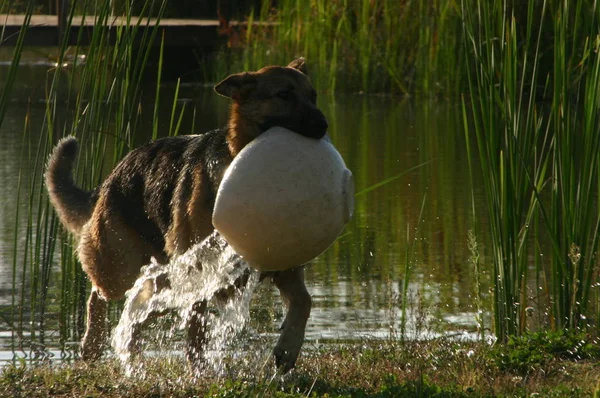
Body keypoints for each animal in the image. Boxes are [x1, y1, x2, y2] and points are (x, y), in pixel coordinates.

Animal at [44, 57, 328, 372]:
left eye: (313, 95)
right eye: (284, 95)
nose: (323, 125)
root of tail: (110, 178)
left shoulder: (285, 267)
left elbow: (304, 302)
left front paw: (287, 349)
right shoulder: (201, 272)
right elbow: (196, 327)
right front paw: (199, 371)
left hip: (164, 282)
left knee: (138, 312)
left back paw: (132, 355)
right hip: (122, 269)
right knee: (98, 296)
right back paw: (92, 345)